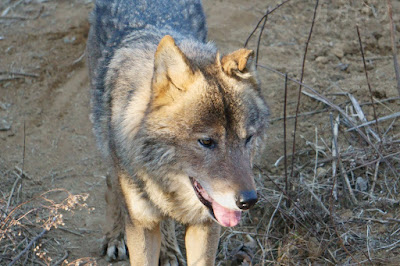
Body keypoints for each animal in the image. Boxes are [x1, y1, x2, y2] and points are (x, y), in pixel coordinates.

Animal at [86, 0, 268, 264]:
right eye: (206, 141)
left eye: (248, 138)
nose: (248, 201)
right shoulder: (141, 224)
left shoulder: (206, 224)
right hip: (106, 144)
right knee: (112, 183)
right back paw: (114, 237)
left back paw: (169, 251)